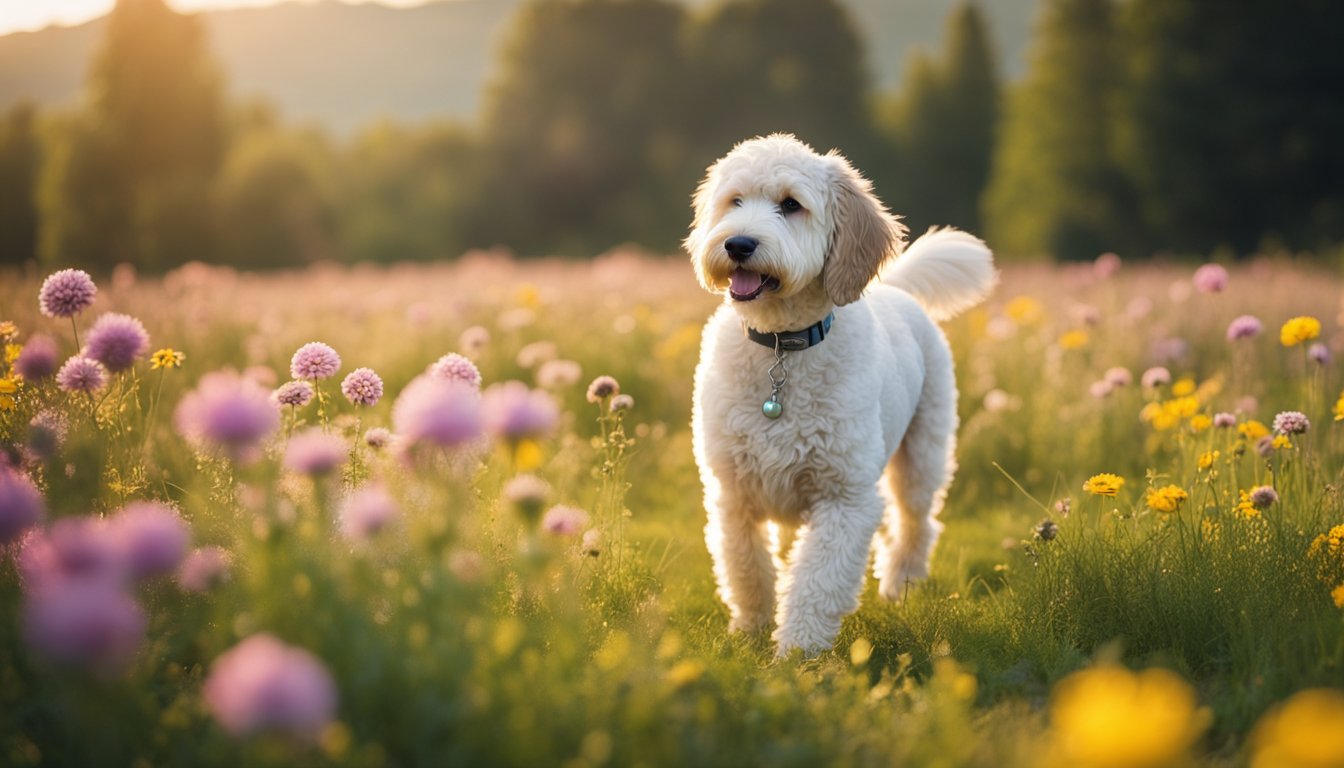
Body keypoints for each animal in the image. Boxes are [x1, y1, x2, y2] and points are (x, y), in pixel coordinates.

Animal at [688, 133, 994, 656]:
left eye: (792, 205)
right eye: (735, 201)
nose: (738, 243)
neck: (781, 349)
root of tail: (899, 291)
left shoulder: (844, 498)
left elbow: (816, 580)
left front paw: (797, 651)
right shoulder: (733, 493)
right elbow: (747, 568)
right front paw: (750, 631)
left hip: (922, 456)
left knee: (916, 523)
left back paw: (901, 583)